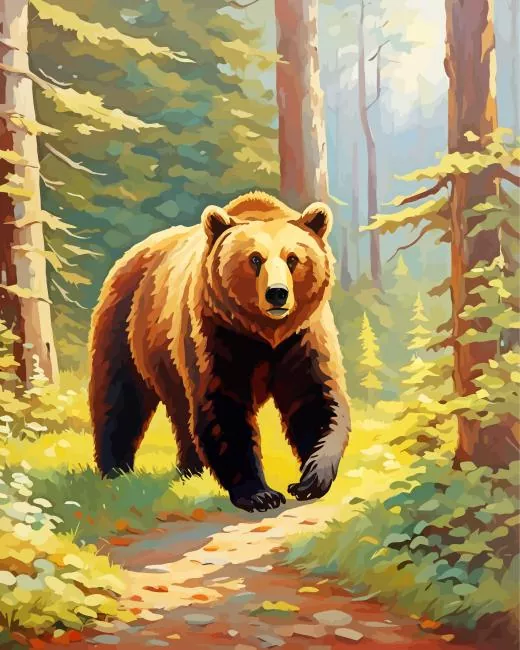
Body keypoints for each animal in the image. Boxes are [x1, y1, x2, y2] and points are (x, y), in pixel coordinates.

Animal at [89, 191, 351, 512]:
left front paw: (310, 479)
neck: (264, 333)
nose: (277, 293)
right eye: (255, 258)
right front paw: (260, 494)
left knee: (182, 415)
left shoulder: (303, 336)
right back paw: (116, 469)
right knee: (120, 396)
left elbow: (315, 398)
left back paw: (190, 470)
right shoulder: (217, 332)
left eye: (293, 258)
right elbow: (224, 407)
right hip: (125, 324)